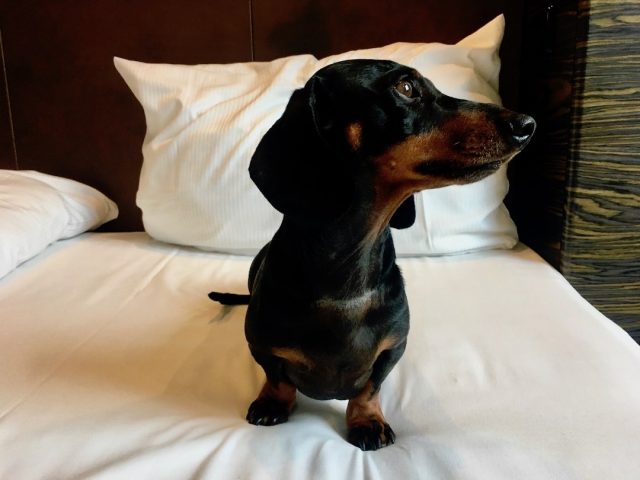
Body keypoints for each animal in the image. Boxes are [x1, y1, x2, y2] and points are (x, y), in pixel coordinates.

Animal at [210, 59, 536, 450]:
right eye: (406, 87)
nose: (528, 125)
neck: (346, 275)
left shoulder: (393, 348)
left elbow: (369, 387)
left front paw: (367, 420)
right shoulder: (260, 344)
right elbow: (278, 377)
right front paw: (272, 403)